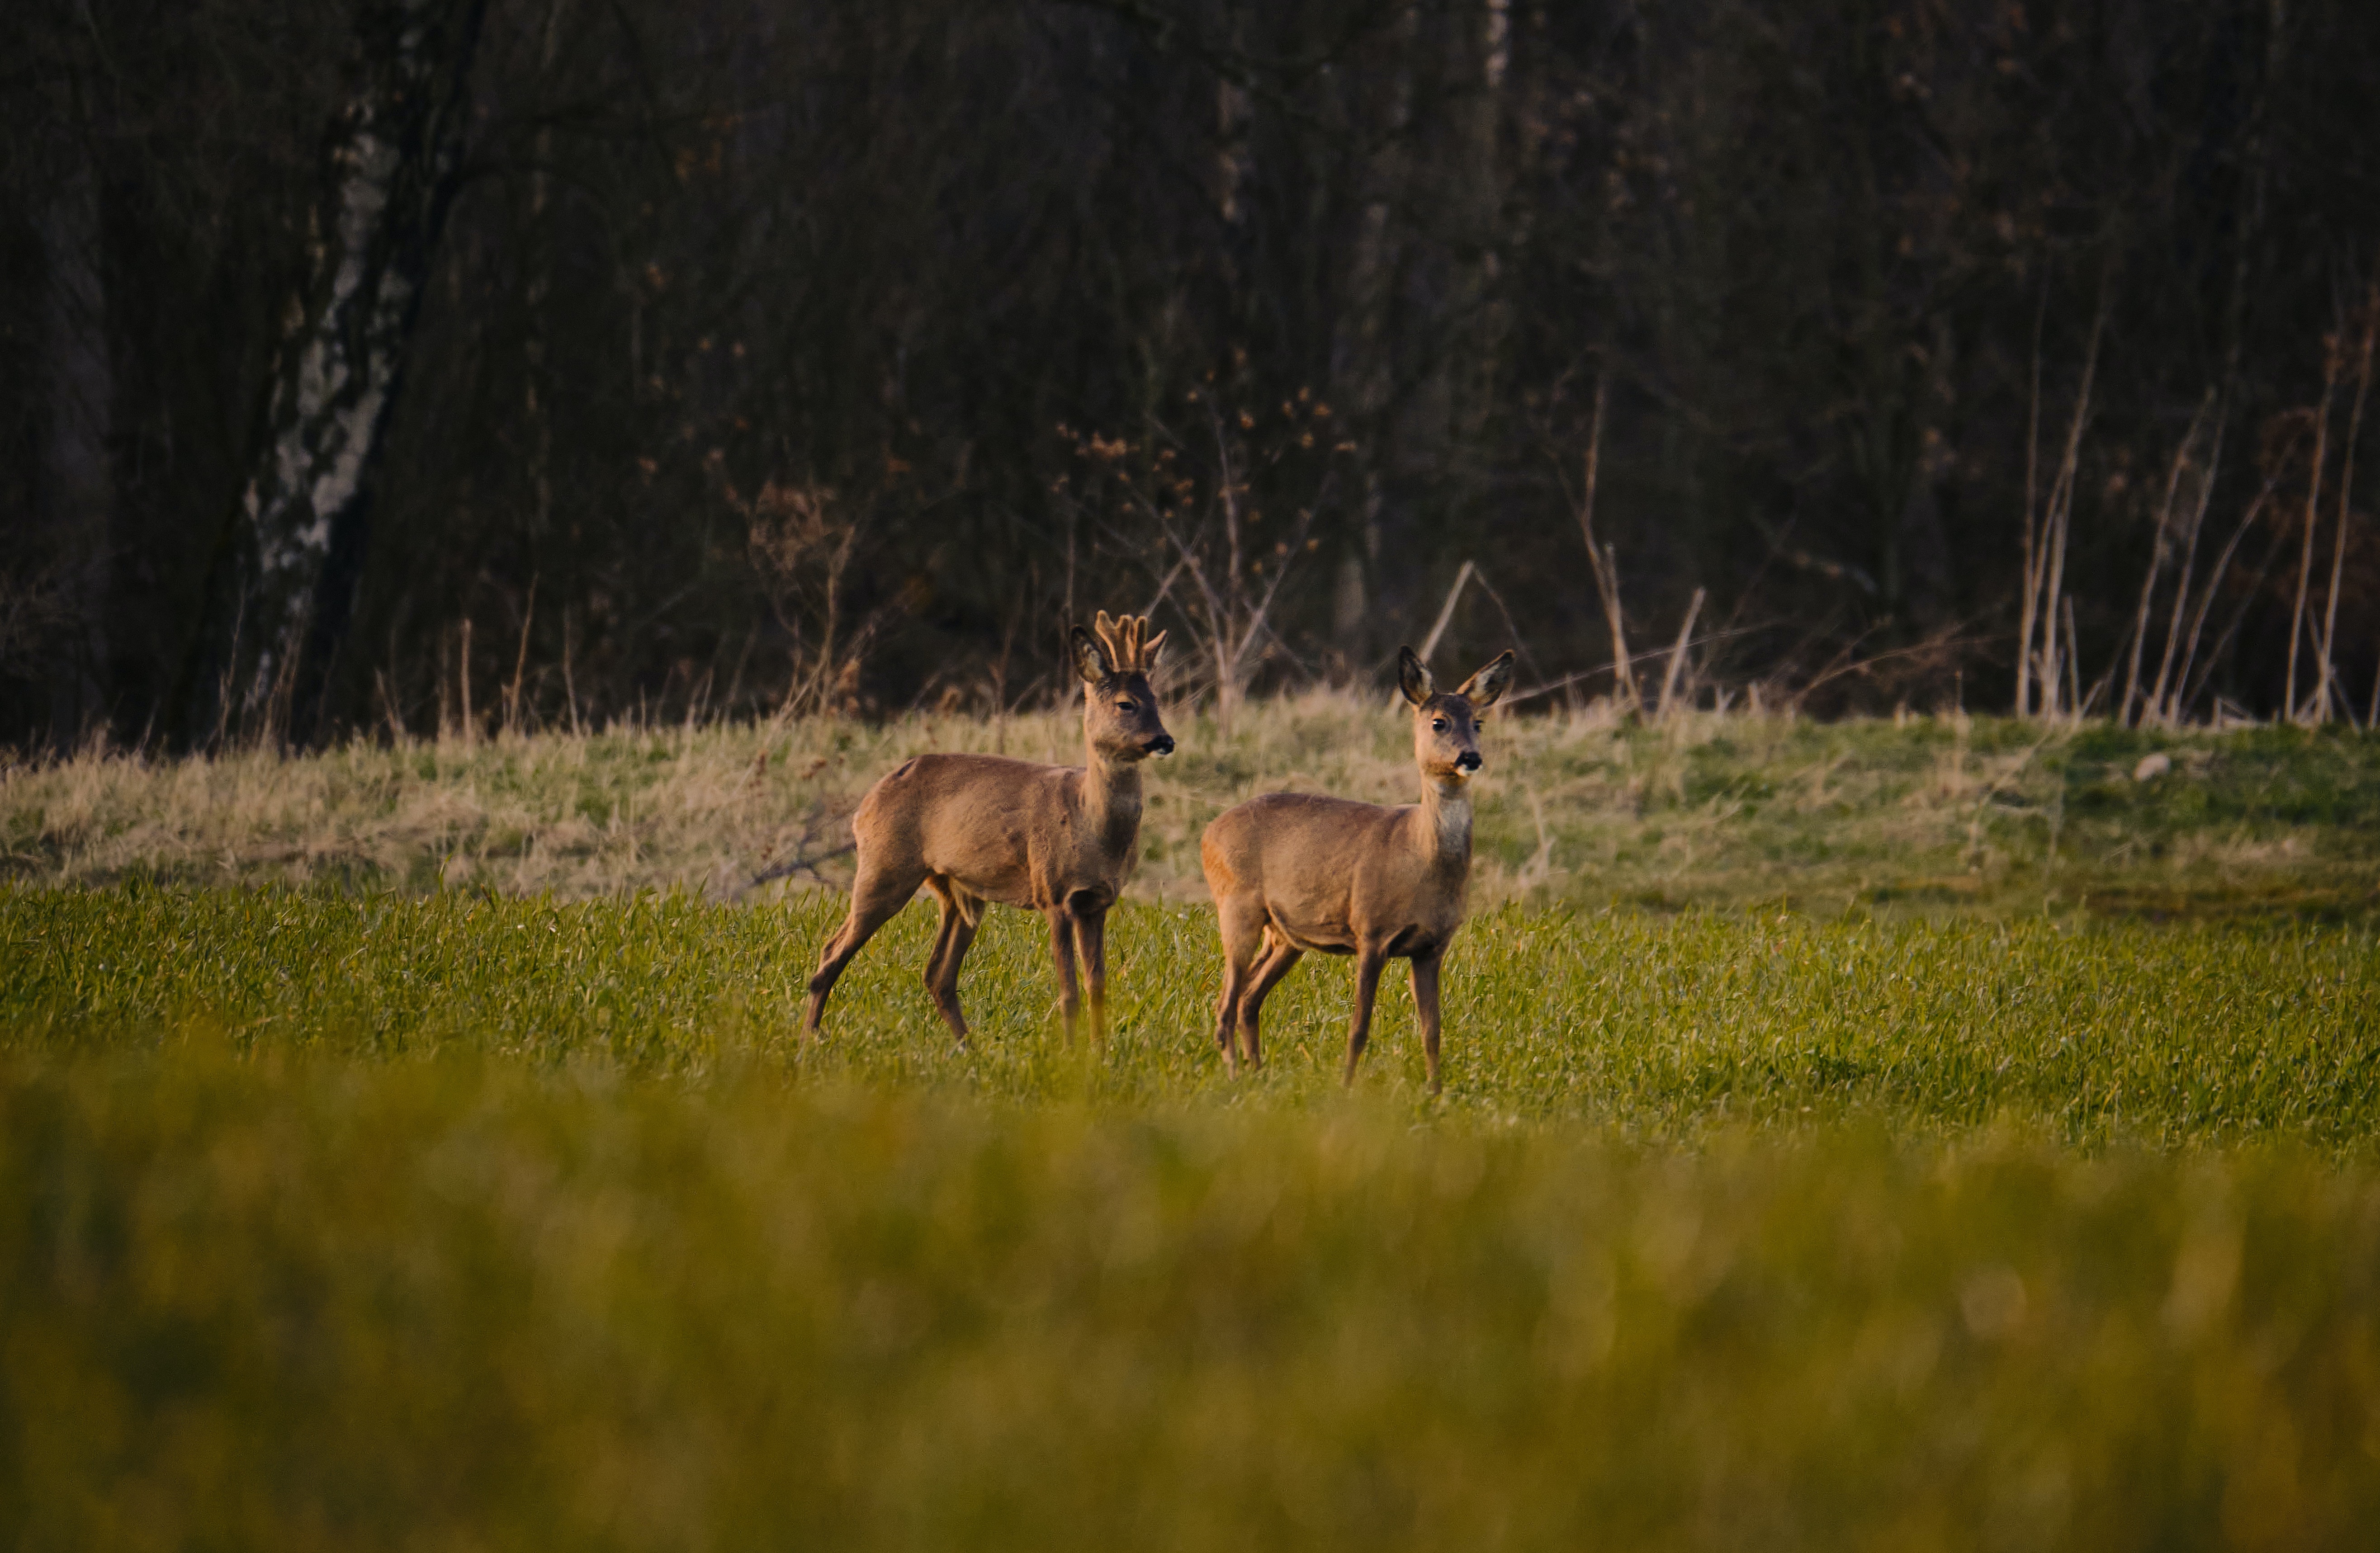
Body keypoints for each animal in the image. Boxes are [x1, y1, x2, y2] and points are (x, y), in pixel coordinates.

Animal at [800, 614, 1171, 1037]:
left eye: (1157, 701)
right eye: (1126, 703)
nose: (1165, 740)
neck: (1090, 824)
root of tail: (864, 806)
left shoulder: (1097, 901)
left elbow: (1097, 987)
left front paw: (1100, 1048)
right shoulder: (1053, 893)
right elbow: (1069, 992)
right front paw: (1070, 1050)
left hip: (957, 891)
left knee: (937, 974)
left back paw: (968, 1046)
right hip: (884, 867)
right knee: (831, 952)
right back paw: (810, 1038)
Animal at [1199, 647, 1514, 1094]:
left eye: (1478, 722)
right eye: (1439, 721)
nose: (1470, 757)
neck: (1419, 857)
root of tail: (1208, 832)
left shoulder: (1432, 946)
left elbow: (1432, 1030)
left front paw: (1436, 1093)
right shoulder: (1371, 929)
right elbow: (1359, 1026)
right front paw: (1346, 1088)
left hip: (1285, 935)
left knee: (1248, 998)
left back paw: (1257, 1074)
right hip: (1235, 905)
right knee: (1225, 1001)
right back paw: (1234, 1077)